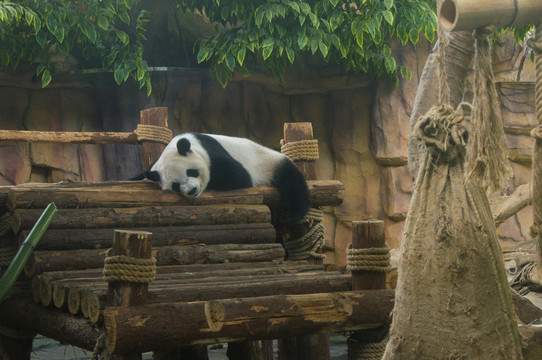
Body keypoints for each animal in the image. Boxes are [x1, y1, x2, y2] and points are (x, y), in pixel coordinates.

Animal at [130, 131, 312, 224]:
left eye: (191, 172)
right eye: (175, 185)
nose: (192, 190)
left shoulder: (213, 153)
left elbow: (237, 176)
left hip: (269, 162)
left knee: (292, 182)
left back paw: (293, 215)